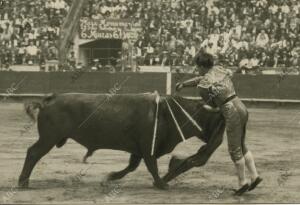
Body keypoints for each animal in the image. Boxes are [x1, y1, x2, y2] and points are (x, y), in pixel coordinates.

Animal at [18, 93, 225, 189]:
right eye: (217, 120)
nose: (217, 142)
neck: (169, 113)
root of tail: (50, 99)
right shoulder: (148, 148)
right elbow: (152, 167)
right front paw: (162, 184)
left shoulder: (139, 149)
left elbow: (132, 166)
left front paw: (110, 176)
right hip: (48, 138)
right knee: (33, 153)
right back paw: (23, 183)